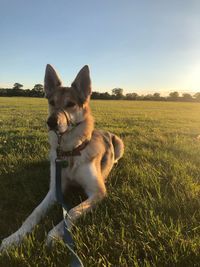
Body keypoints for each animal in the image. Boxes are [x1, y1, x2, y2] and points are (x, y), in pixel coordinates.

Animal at [0, 64, 123, 251]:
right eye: (51, 103)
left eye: (70, 104)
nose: (51, 122)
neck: (70, 152)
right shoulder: (55, 190)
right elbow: (34, 213)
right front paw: (14, 237)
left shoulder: (98, 192)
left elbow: (72, 211)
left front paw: (56, 234)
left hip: (120, 144)